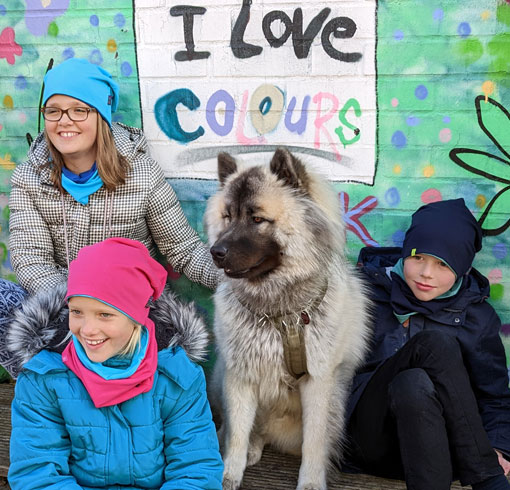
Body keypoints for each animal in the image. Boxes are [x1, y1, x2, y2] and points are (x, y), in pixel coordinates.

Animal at [205, 148, 372, 490]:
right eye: (227, 217)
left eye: (257, 219)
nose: (217, 251)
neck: (279, 312)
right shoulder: (240, 376)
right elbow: (237, 432)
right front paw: (229, 473)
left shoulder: (318, 381)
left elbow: (314, 441)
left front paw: (311, 482)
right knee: (245, 431)